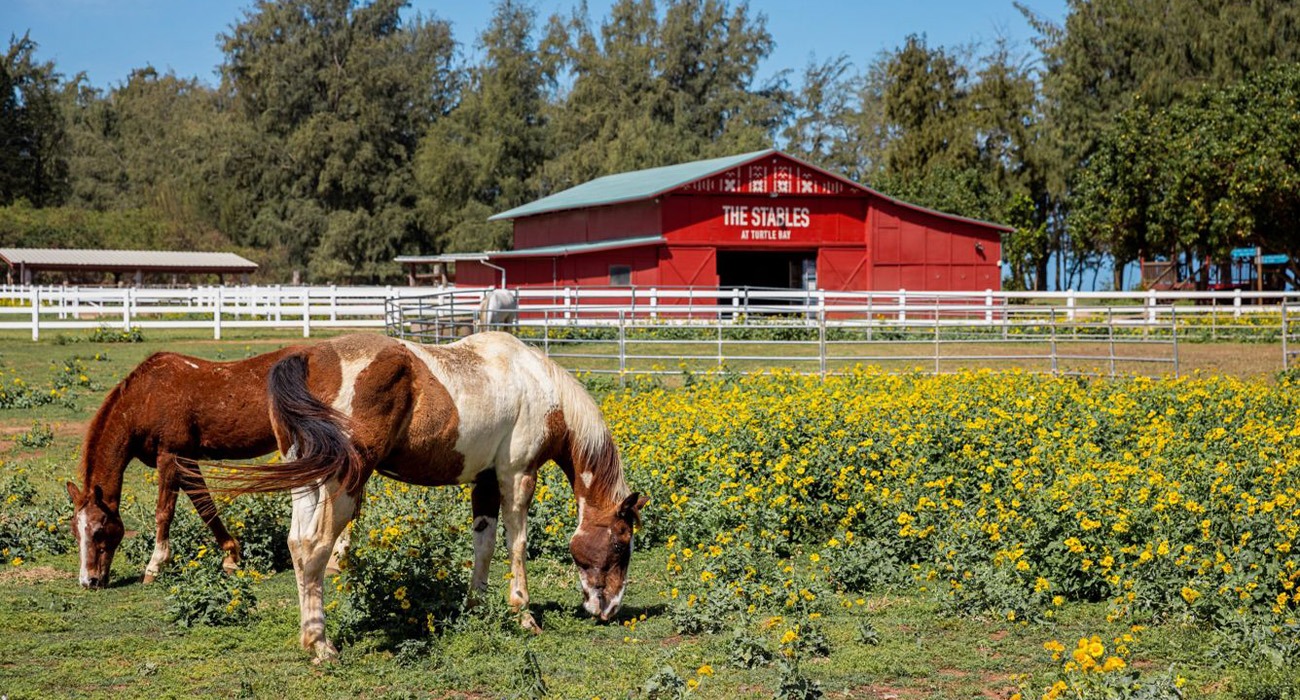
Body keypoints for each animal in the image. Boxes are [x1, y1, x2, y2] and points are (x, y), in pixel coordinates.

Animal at [65, 347, 301, 589]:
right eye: (75, 531)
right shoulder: (187, 462)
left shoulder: (170, 458)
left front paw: (154, 566)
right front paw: (230, 557)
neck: (146, 398)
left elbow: (164, 512)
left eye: (98, 530)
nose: (88, 581)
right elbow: (205, 507)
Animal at [217, 332, 646, 661]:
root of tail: (308, 357)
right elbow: (517, 544)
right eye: (621, 544)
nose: (609, 609)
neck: (540, 386)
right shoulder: (517, 476)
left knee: (297, 544)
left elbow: (485, 544)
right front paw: (523, 614)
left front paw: (476, 605)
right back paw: (321, 644)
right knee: (314, 548)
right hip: (343, 483)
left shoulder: (484, 482)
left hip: (307, 481)